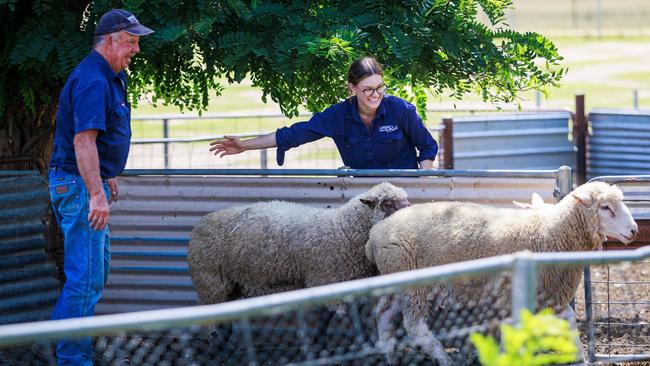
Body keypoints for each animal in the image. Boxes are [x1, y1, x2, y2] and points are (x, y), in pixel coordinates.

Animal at [187, 181, 408, 306]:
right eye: (387, 204)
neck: (344, 230)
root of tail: (200, 223)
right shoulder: (326, 282)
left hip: (232, 284)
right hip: (211, 282)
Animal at [364, 182, 636, 364]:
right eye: (605, 207)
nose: (634, 230)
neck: (548, 231)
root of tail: (374, 236)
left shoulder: (549, 291)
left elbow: (569, 320)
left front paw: (579, 356)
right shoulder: (513, 293)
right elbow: (512, 329)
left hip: (397, 282)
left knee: (383, 314)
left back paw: (387, 353)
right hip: (414, 284)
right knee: (415, 328)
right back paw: (443, 358)